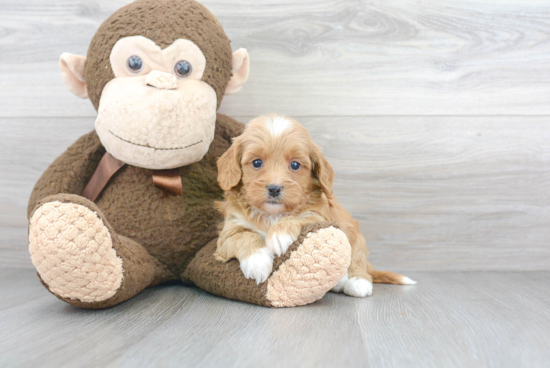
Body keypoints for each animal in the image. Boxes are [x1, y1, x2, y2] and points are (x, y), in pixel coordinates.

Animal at [213, 113, 416, 298]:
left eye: (295, 165)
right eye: (256, 162)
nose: (274, 189)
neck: (272, 215)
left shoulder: (318, 216)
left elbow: (298, 218)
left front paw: (279, 234)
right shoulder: (228, 231)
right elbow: (243, 236)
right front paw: (257, 261)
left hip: (356, 239)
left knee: (358, 262)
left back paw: (357, 282)